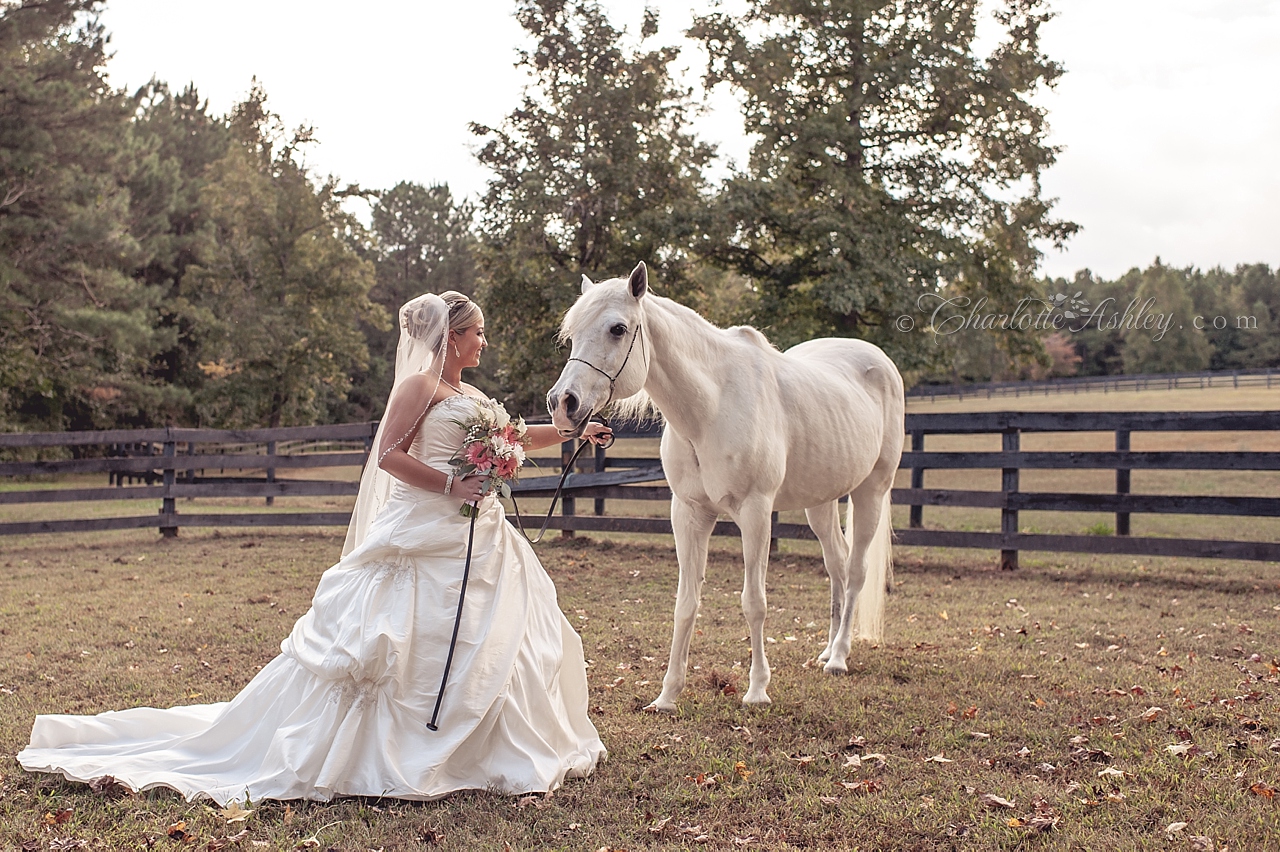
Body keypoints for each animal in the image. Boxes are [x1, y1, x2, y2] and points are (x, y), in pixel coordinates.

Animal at [545, 262, 906, 706]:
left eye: (617, 328)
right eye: (572, 333)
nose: (563, 404)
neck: (712, 408)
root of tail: (879, 361)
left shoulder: (755, 513)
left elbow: (754, 603)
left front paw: (757, 690)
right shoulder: (689, 514)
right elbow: (686, 603)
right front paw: (667, 696)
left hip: (871, 491)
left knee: (855, 571)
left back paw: (838, 657)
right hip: (820, 502)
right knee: (836, 564)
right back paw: (826, 650)